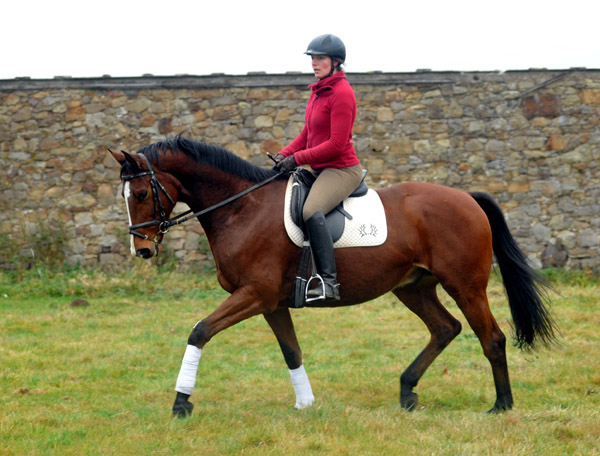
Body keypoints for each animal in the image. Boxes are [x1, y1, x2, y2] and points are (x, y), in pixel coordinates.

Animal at [109, 135, 556, 416]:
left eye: (143, 193)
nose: (142, 250)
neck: (242, 208)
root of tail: (467, 197)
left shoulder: (253, 294)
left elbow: (200, 330)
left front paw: (181, 402)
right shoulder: (269, 302)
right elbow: (291, 351)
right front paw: (305, 404)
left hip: (465, 285)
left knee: (491, 338)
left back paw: (501, 405)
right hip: (413, 287)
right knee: (445, 328)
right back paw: (407, 390)